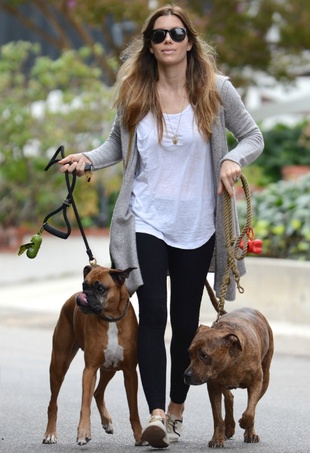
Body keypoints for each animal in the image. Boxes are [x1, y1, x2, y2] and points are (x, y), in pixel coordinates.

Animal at [42, 264, 144, 444]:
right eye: (84, 285)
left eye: (100, 288)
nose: (83, 296)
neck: (111, 320)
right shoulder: (89, 370)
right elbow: (85, 405)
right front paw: (83, 433)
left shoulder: (130, 372)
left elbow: (133, 409)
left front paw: (139, 435)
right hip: (59, 365)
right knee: (53, 403)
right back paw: (50, 433)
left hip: (109, 369)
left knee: (98, 393)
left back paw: (107, 422)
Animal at [184, 306, 274, 446]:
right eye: (189, 353)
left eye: (204, 355)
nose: (186, 375)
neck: (231, 362)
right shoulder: (213, 386)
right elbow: (217, 416)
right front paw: (217, 438)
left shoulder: (257, 382)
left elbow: (250, 411)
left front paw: (244, 423)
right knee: (229, 397)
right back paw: (229, 427)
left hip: (265, 378)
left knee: (251, 404)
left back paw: (249, 431)